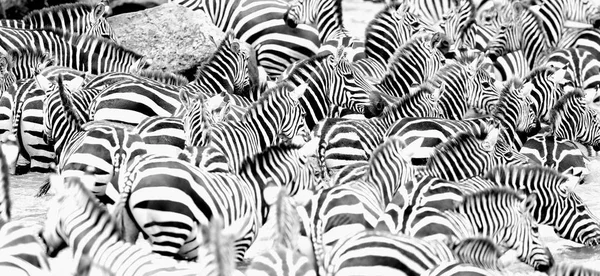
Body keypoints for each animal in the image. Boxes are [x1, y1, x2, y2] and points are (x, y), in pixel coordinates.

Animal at [112, 140, 318, 260]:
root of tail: (136, 171)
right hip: (170, 232)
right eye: (314, 173)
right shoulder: (237, 246)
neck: (254, 194)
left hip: (130, 232)